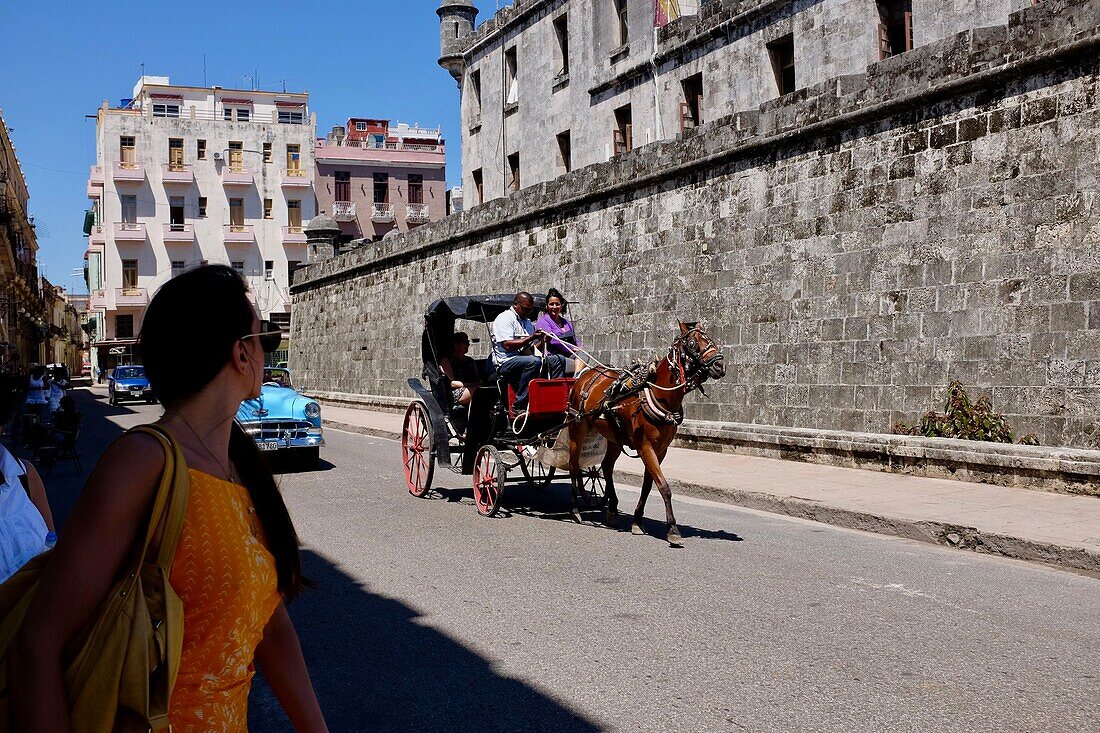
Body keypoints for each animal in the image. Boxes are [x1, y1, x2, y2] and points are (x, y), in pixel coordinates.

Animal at [567, 319, 730, 541]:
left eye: (711, 339)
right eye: (693, 344)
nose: (719, 365)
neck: (661, 397)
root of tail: (586, 375)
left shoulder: (661, 450)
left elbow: (648, 485)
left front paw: (637, 520)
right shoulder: (645, 447)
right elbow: (664, 486)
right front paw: (672, 529)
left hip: (614, 437)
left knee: (607, 467)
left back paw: (612, 508)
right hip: (577, 428)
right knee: (574, 465)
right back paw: (575, 509)